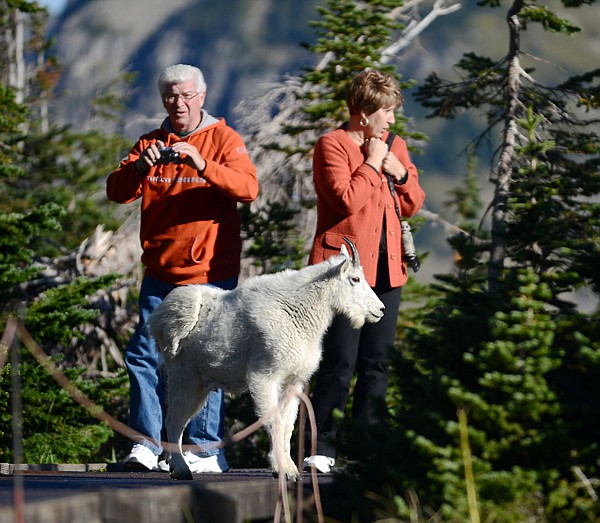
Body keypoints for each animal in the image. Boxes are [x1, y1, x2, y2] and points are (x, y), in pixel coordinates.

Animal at [148, 239, 386, 482]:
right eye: (355, 279)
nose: (380, 309)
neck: (299, 313)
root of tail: (157, 320)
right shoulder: (264, 375)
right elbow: (274, 421)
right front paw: (284, 470)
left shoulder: (293, 381)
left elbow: (288, 425)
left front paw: (288, 469)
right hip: (184, 376)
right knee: (174, 420)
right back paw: (181, 469)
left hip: (200, 384)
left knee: (178, 419)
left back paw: (174, 465)